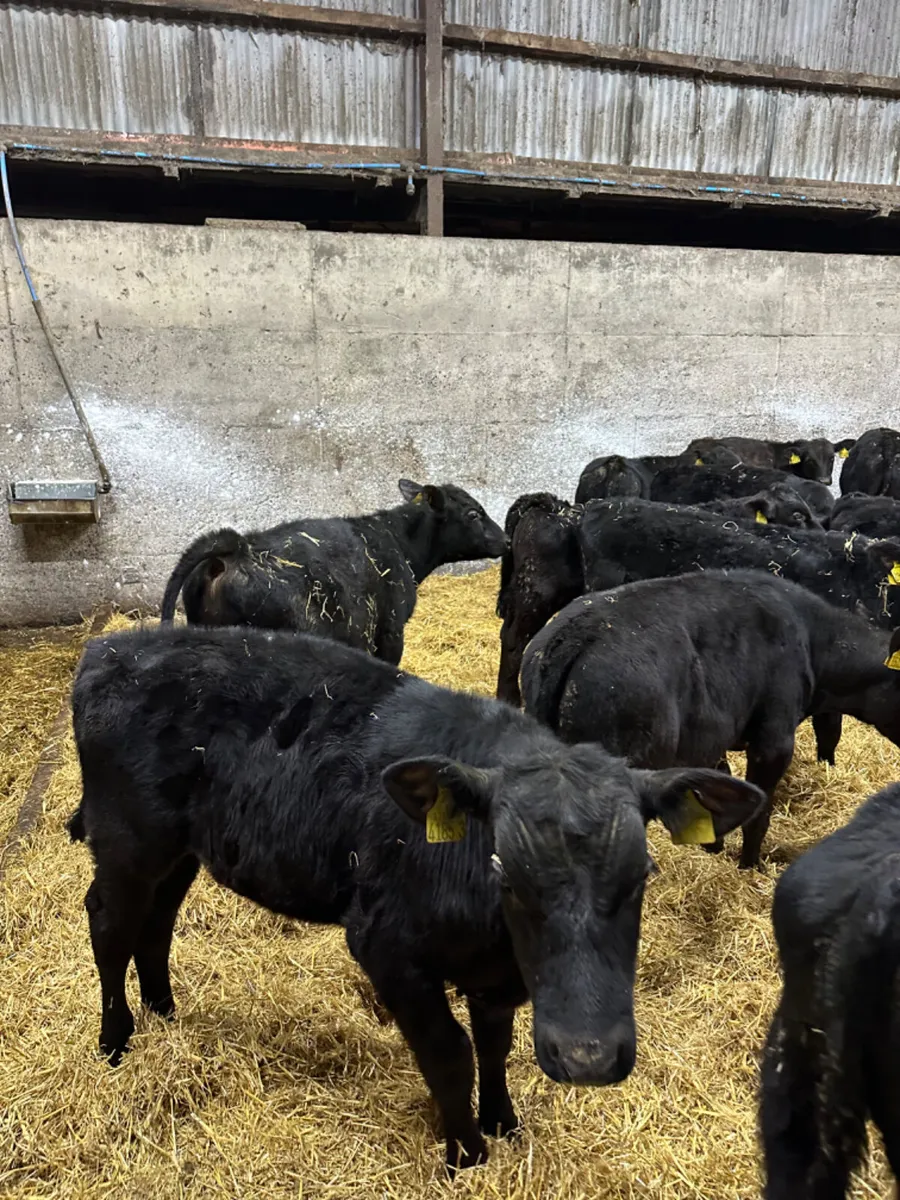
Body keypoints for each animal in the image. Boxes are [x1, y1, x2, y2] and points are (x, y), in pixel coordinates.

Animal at [66, 623, 764, 1173]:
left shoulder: (497, 978)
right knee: (109, 922)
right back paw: (116, 1040)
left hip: (180, 848)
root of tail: (111, 646)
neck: (493, 939)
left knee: (156, 922)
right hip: (128, 838)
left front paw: (504, 1123)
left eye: (643, 873)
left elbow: (494, 1043)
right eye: (505, 871)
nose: (586, 1058)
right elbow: (451, 1055)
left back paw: (164, 1012)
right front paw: (467, 1156)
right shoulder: (388, 951)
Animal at [520, 570, 900, 870]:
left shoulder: (710, 736)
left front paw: (713, 849)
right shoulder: (773, 740)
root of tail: (571, 637)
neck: (813, 639)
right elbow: (759, 811)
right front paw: (750, 868)